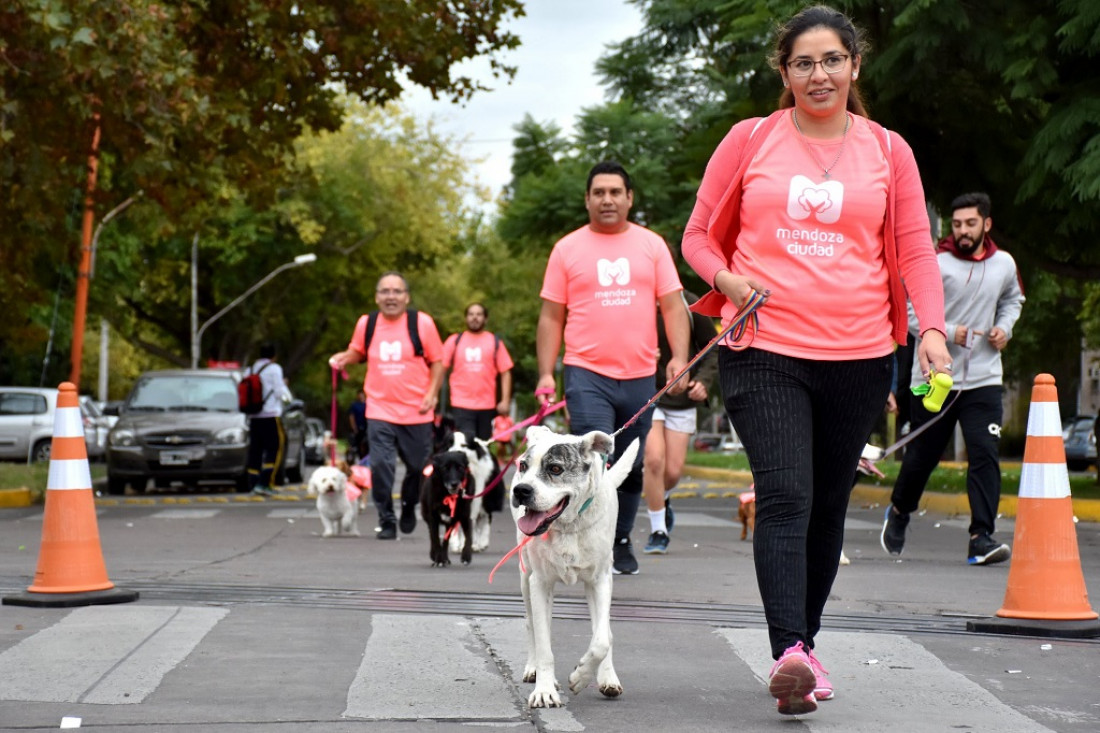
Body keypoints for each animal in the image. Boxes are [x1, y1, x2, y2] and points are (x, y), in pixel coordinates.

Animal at [506, 424, 638, 704]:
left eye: (555, 469)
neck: (569, 525)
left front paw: (582, 676)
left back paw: (608, 678)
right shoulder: (540, 582)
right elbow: (544, 642)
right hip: (525, 578)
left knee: (604, 631)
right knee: (532, 623)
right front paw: (545, 690)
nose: (521, 490)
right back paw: (534, 669)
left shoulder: (600, 581)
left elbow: (602, 639)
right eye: (523, 465)